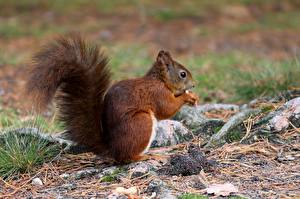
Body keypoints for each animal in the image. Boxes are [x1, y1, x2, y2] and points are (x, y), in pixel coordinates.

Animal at [26, 35, 199, 163]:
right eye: (183, 74)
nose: (194, 84)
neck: (160, 80)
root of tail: (112, 149)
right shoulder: (157, 93)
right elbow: (166, 109)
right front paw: (187, 96)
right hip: (141, 123)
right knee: (128, 158)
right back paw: (149, 155)